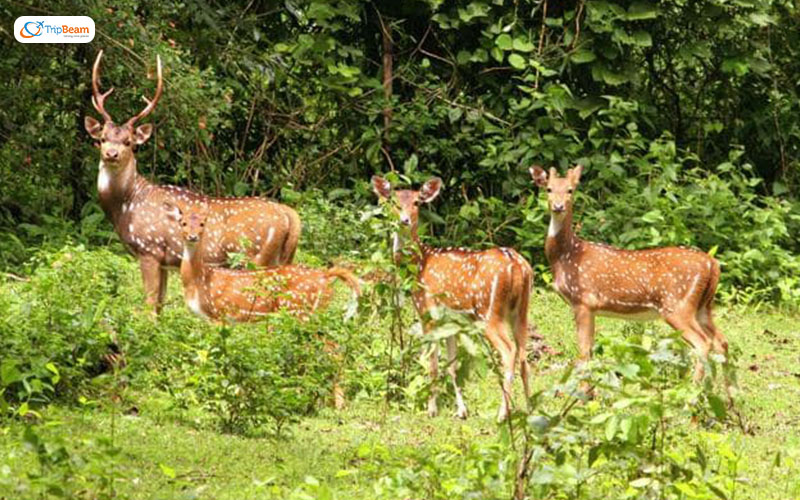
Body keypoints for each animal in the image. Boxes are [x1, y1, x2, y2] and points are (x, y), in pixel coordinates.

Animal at [84, 51, 302, 316]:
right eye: (102, 139)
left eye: (129, 142)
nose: (111, 154)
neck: (126, 206)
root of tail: (290, 216)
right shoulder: (165, 261)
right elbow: (159, 306)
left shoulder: (149, 249)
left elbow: (149, 306)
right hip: (283, 258)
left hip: (255, 257)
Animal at [372, 176, 536, 422]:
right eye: (394, 201)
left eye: (417, 202)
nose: (404, 220)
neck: (418, 266)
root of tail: (517, 266)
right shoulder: (450, 322)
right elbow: (452, 365)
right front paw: (461, 411)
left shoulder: (427, 312)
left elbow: (432, 363)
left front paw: (431, 409)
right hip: (521, 311)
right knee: (524, 354)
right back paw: (531, 409)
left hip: (489, 312)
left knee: (509, 352)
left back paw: (502, 413)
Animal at [528, 166, 728, 388]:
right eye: (548, 189)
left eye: (570, 190)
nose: (558, 206)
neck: (567, 255)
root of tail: (713, 265)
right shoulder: (590, 307)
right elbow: (589, 351)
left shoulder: (583, 300)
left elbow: (584, 353)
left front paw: (582, 391)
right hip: (703, 306)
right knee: (721, 341)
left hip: (677, 305)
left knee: (703, 343)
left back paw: (694, 389)